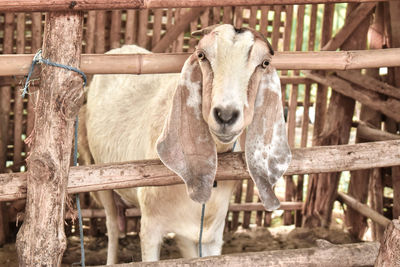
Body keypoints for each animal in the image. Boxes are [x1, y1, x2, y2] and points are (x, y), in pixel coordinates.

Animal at [85, 23, 290, 266]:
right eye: (202, 55)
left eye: (264, 63)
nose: (225, 115)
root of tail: (122, 48)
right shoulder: (151, 227)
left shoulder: (211, 232)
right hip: (99, 173)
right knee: (112, 226)